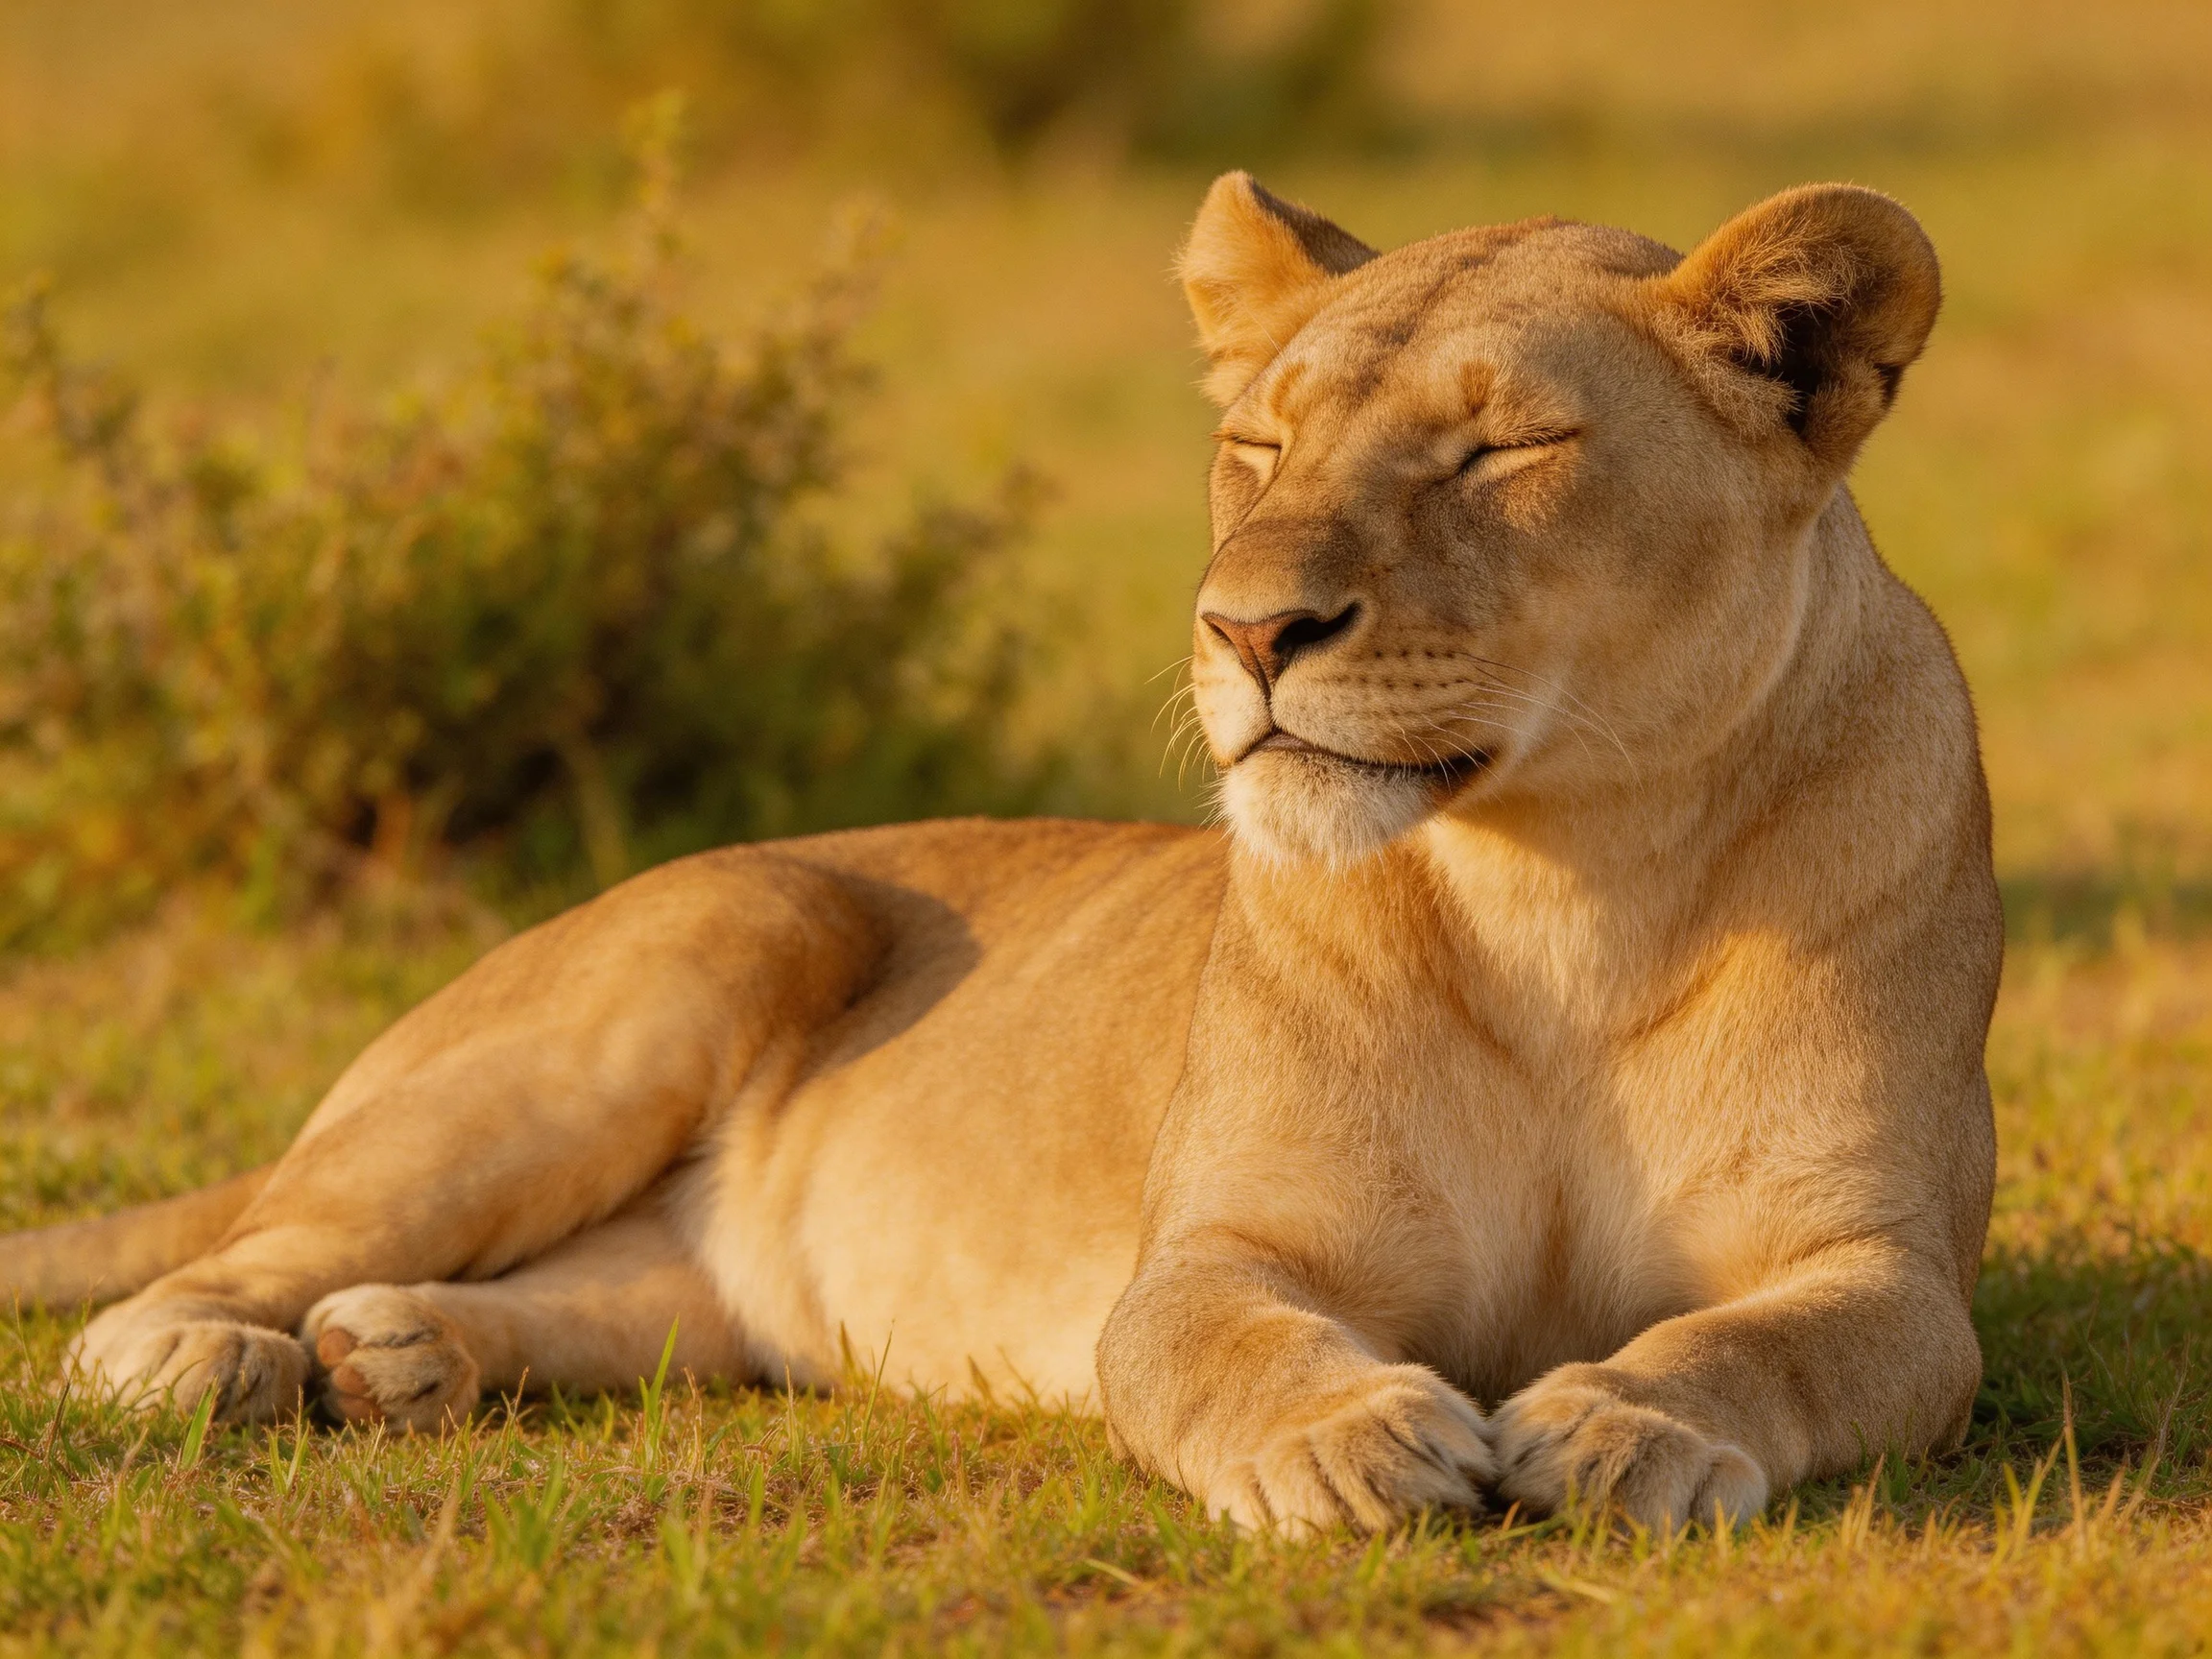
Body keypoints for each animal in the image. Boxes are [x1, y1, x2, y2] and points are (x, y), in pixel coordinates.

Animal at [0, 173, 1999, 1535]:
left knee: (617, 1295)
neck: (1560, 881)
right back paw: (210, 1354)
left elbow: (1772, 1341)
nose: (1243, 628)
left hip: (696, 1276)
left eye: (1498, 448)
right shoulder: (1216, 1245)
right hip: (706, 941)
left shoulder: (1879, 1260)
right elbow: (1219, 1345)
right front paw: (1346, 1437)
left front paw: (1621, 1422)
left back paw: (398, 1352)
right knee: (234, 1253)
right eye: (1254, 439)